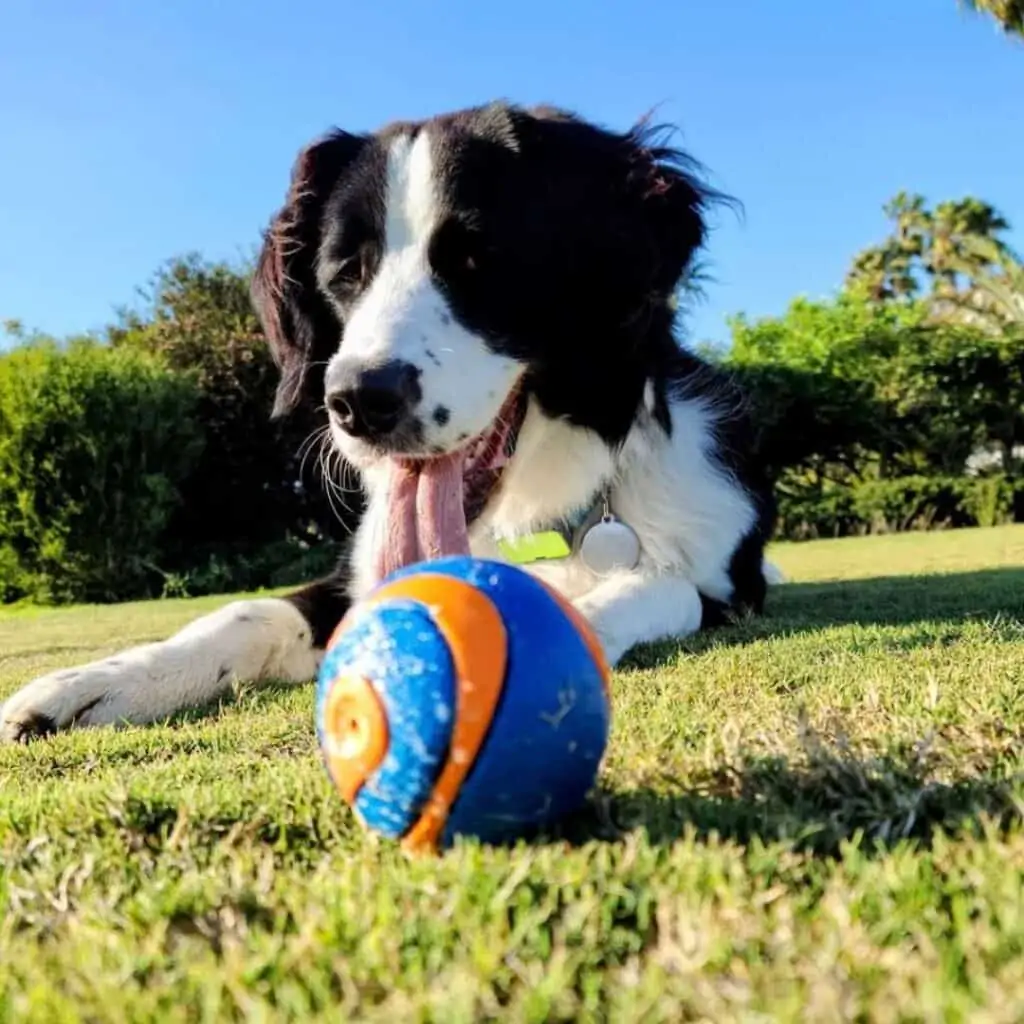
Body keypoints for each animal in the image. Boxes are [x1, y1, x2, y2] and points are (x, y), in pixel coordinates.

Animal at [0, 101, 774, 745]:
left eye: (478, 262)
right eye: (345, 275)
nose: (358, 401)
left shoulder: (721, 587)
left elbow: (656, 586)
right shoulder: (351, 580)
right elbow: (245, 614)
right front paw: (96, 683)